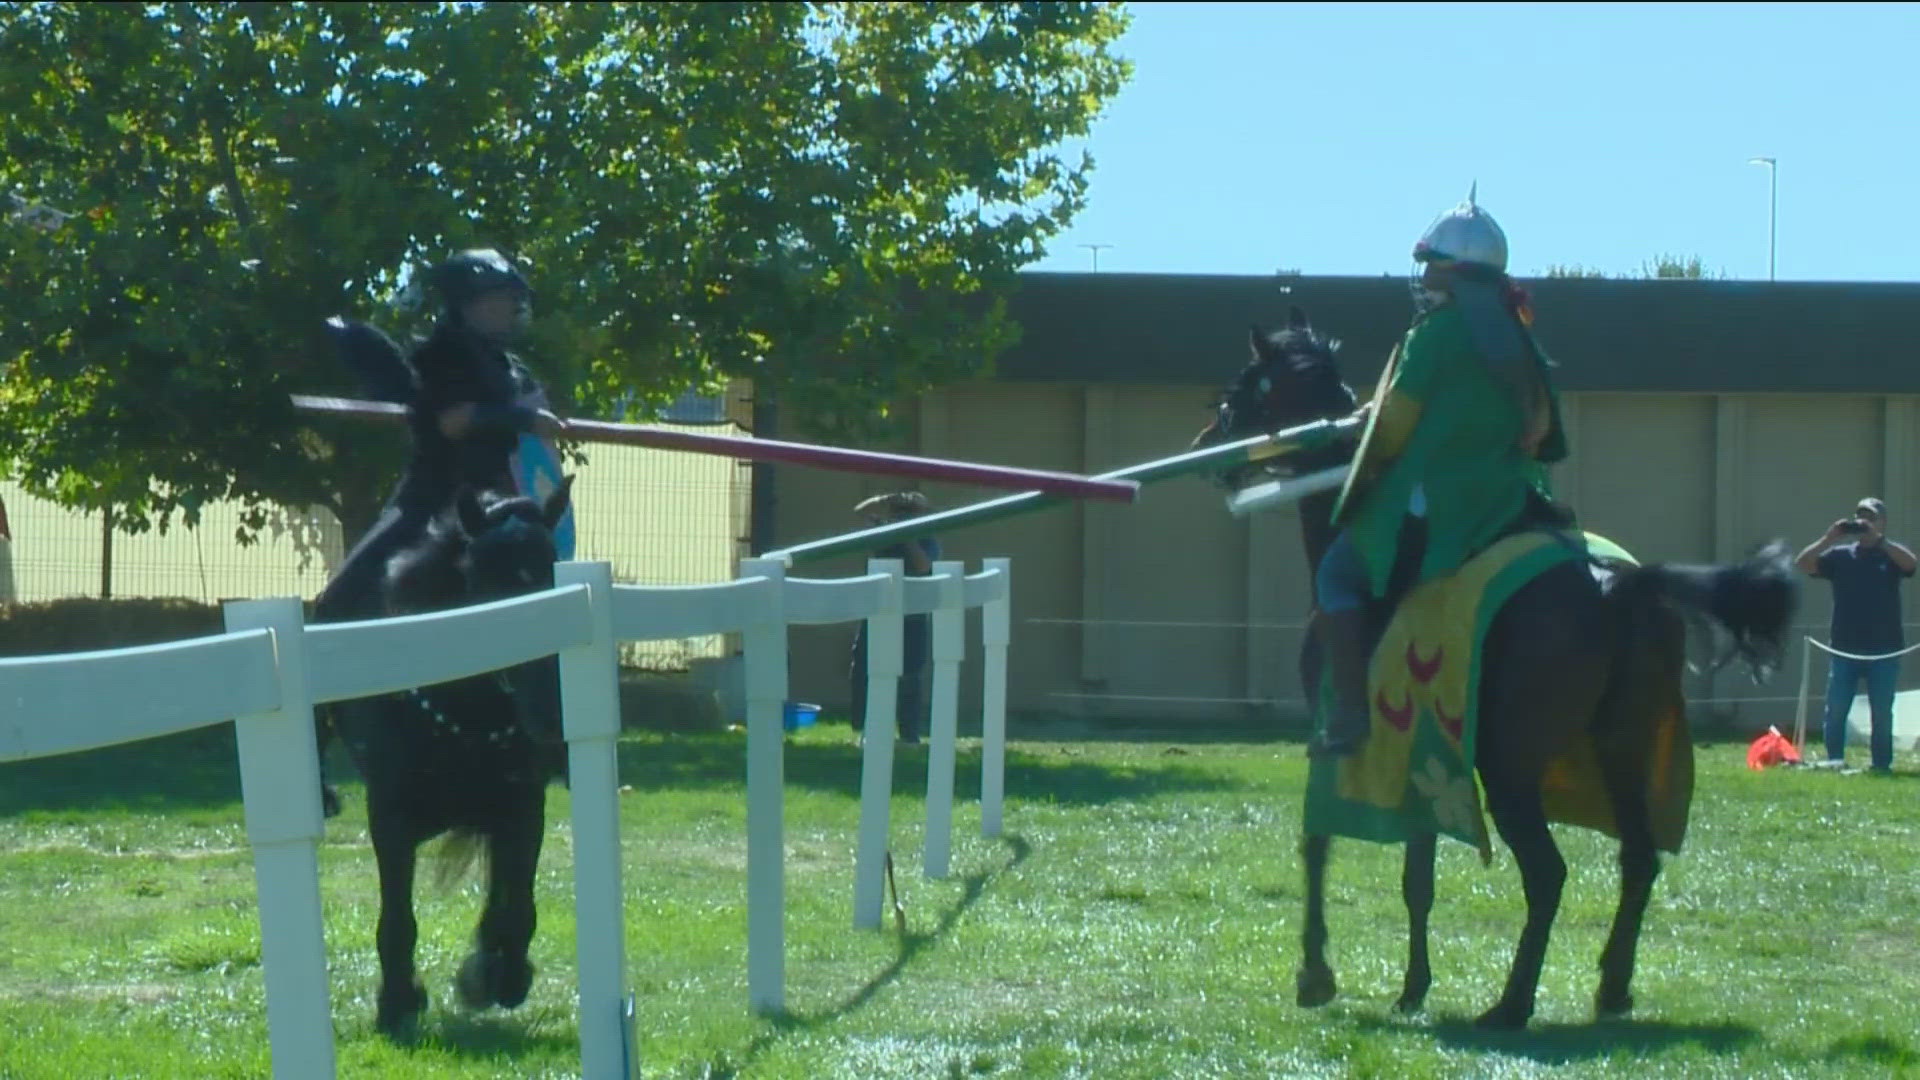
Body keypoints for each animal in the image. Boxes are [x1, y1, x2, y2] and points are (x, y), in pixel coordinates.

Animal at [322, 478, 572, 1037]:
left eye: (554, 573)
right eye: (489, 582)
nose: (553, 715)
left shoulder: (521, 808)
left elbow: (517, 906)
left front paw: (496, 976)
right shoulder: (390, 819)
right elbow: (398, 919)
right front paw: (397, 1003)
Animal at [1182, 305, 1797, 1022]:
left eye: (1243, 387)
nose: (1209, 441)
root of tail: (1619, 586)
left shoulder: (1338, 743)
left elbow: (1318, 844)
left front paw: (1315, 972)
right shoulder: (1417, 761)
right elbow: (1416, 875)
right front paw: (1412, 986)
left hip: (1510, 769)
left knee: (1549, 873)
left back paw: (1512, 1004)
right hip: (1619, 748)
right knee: (1638, 860)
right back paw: (1611, 987)